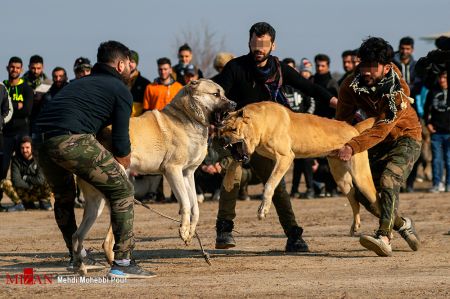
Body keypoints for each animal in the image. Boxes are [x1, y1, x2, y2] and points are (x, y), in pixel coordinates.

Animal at [218, 102, 376, 236]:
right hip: (341, 180)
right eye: (221, 130)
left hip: (361, 178)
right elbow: (234, 162)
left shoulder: (285, 157)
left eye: (233, 129)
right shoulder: (252, 154)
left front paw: (263, 210)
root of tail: (354, 128)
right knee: (354, 200)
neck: (261, 123)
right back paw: (355, 226)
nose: (222, 140)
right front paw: (228, 181)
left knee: (375, 198)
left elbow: (269, 184)